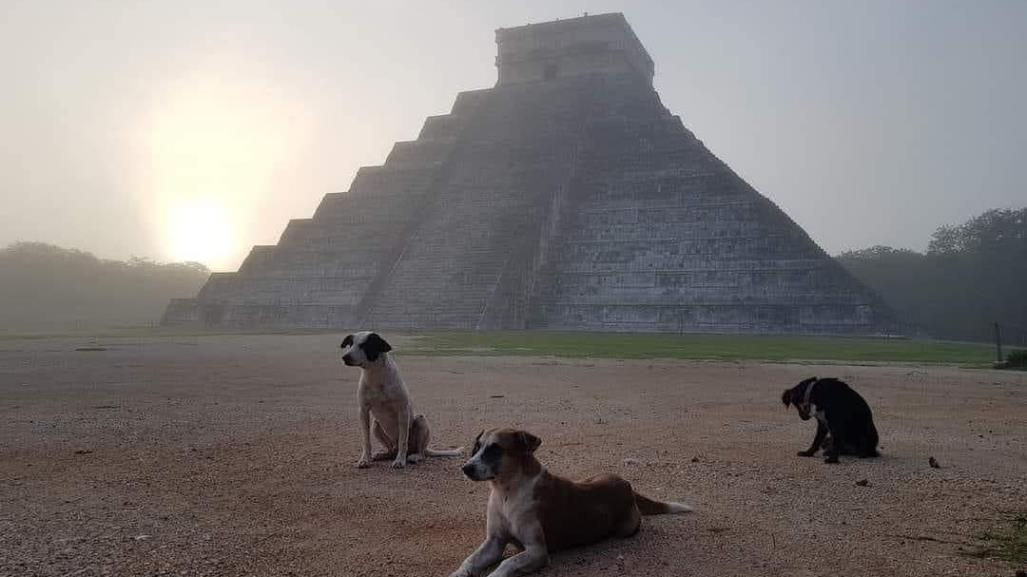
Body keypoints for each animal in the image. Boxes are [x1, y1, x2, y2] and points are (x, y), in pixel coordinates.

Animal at [340, 332, 462, 468]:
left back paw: (414, 456)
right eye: (350, 344)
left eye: (365, 345)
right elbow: (366, 440)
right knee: (391, 449)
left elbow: (403, 441)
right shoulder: (363, 410)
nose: (345, 357)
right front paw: (365, 459)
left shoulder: (402, 411)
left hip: (421, 421)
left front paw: (400, 461)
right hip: (376, 425)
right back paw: (383, 455)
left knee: (420, 453)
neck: (375, 375)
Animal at [449, 427, 690, 574]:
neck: (506, 492)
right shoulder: (494, 542)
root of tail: (625, 483)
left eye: (495, 449)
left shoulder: (537, 551)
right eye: (477, 447)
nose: (466, 468)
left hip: (626, 528)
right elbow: (468, 561)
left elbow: (506, 563)